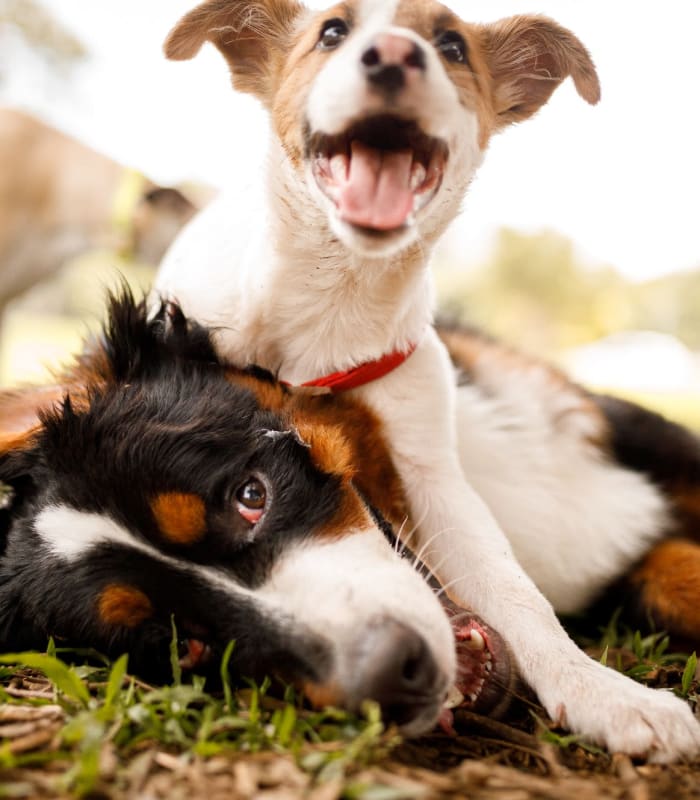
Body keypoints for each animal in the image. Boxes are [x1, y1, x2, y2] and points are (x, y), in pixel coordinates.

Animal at [156, 0, 700, 764]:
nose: (391, 56)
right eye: (331, 32)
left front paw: (602, 690)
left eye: (452, 46)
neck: (333, 301)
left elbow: (515, 592)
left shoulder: (432, 476)